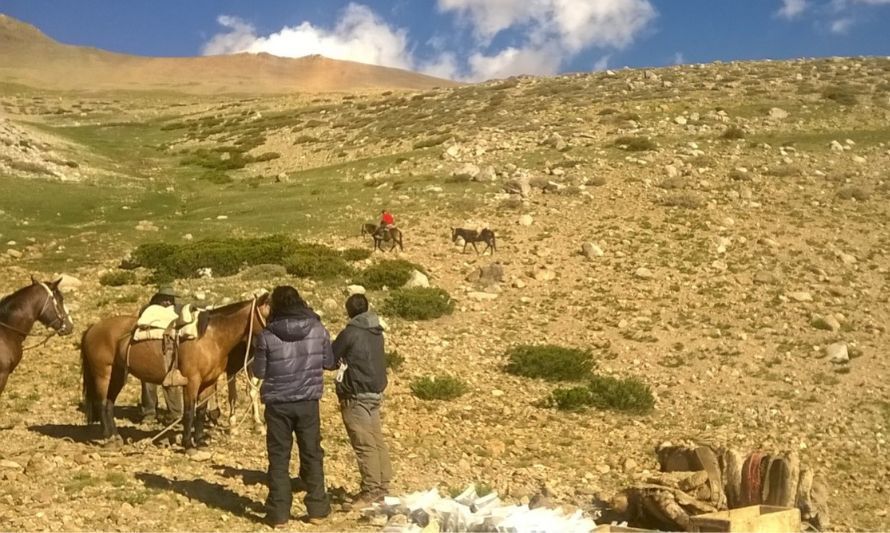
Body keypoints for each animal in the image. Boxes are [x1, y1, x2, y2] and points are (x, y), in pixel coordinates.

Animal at [81, 294, 268, 446]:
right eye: (269, 312)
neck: (210, 337)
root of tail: (92, 328)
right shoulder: (192, 381)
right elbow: (189, 411)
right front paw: (188, 444)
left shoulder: (209, 382)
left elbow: (201, 411)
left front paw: (200, 440)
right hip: (103, 374)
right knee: (101, 403)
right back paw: (108, 438)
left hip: (118, 375)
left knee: (109, 403)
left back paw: (116, 436)